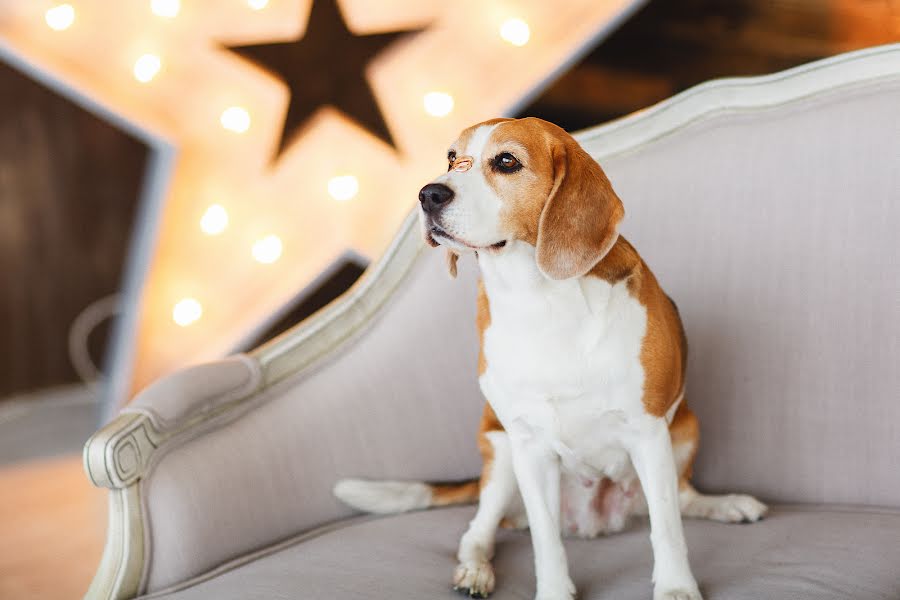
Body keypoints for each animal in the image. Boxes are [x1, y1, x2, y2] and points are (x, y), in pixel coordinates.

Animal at [334, 118, 768, 600]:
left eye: (507, 161)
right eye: (450, 158)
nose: (428, 194)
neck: (537, 298)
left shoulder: (649, 433)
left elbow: (667, 527)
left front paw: (676, 586)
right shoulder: (529, 448)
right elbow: (546, 540)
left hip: (686, 430)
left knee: (682, 498)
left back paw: (726, 504)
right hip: (502, 456)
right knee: (478, 532)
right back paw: (475, 570)